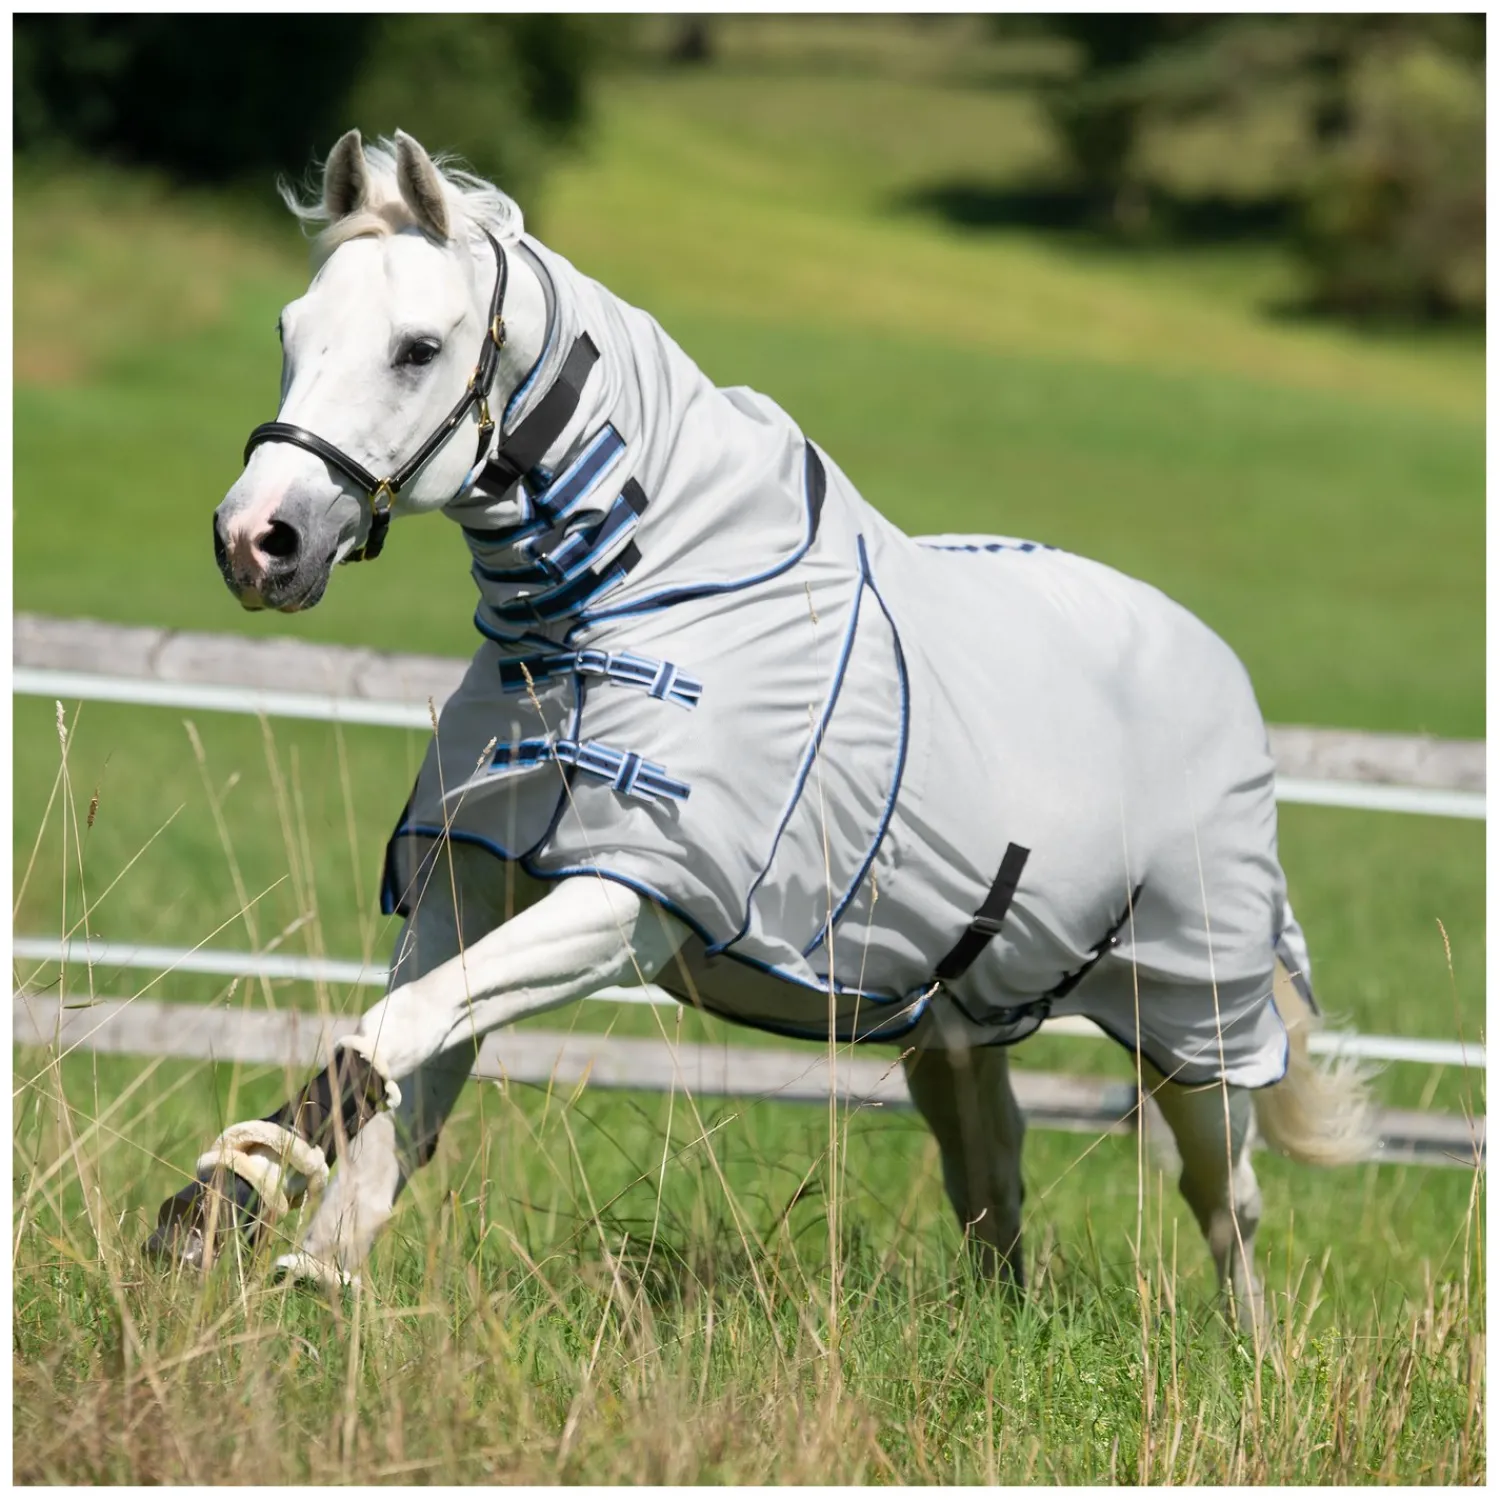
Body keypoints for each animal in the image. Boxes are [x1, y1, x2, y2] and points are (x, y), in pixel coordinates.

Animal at [147, 130, 1373, 1322]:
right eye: (291, 330)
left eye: (417, 348)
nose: (257, 541)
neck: (635, 601)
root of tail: (1214, 665)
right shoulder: (469, 880)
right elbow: (404, 1071)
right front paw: (301, 1265)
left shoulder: (624, 902)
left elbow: (401, 1031)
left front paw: (215, 1205)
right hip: (956, 1023)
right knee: (993, 1172)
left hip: (1194, 1024)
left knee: (1228, 1202)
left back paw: (1254, 1359)